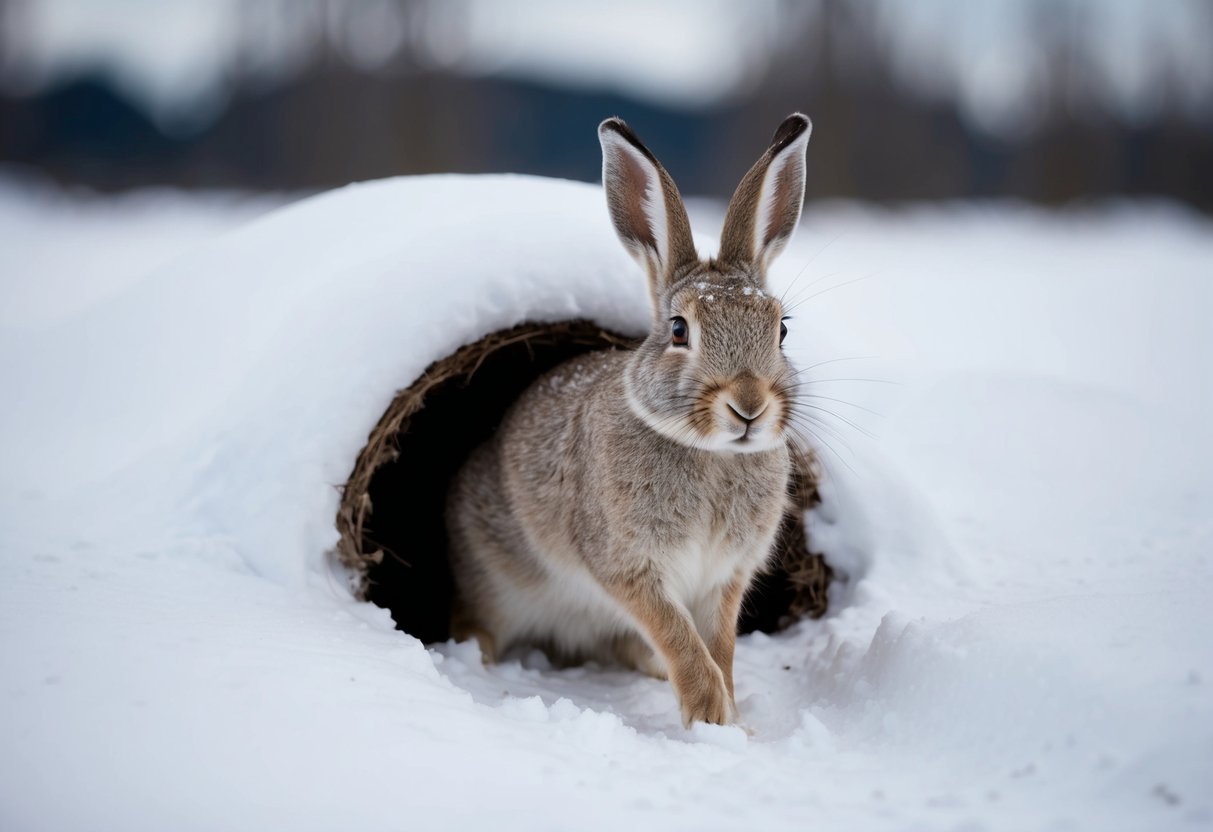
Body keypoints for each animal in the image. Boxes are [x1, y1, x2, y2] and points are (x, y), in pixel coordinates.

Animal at [446, 113, 812, 726]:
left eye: (781, 329)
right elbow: (679, 637)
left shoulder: (724, 579)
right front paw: (710, 714)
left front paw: (731, 714)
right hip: (492, 575)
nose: (749, 405)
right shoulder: (629, 566)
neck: (712, 453)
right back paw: (477, 654)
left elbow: (719, 644)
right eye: (679, 330)